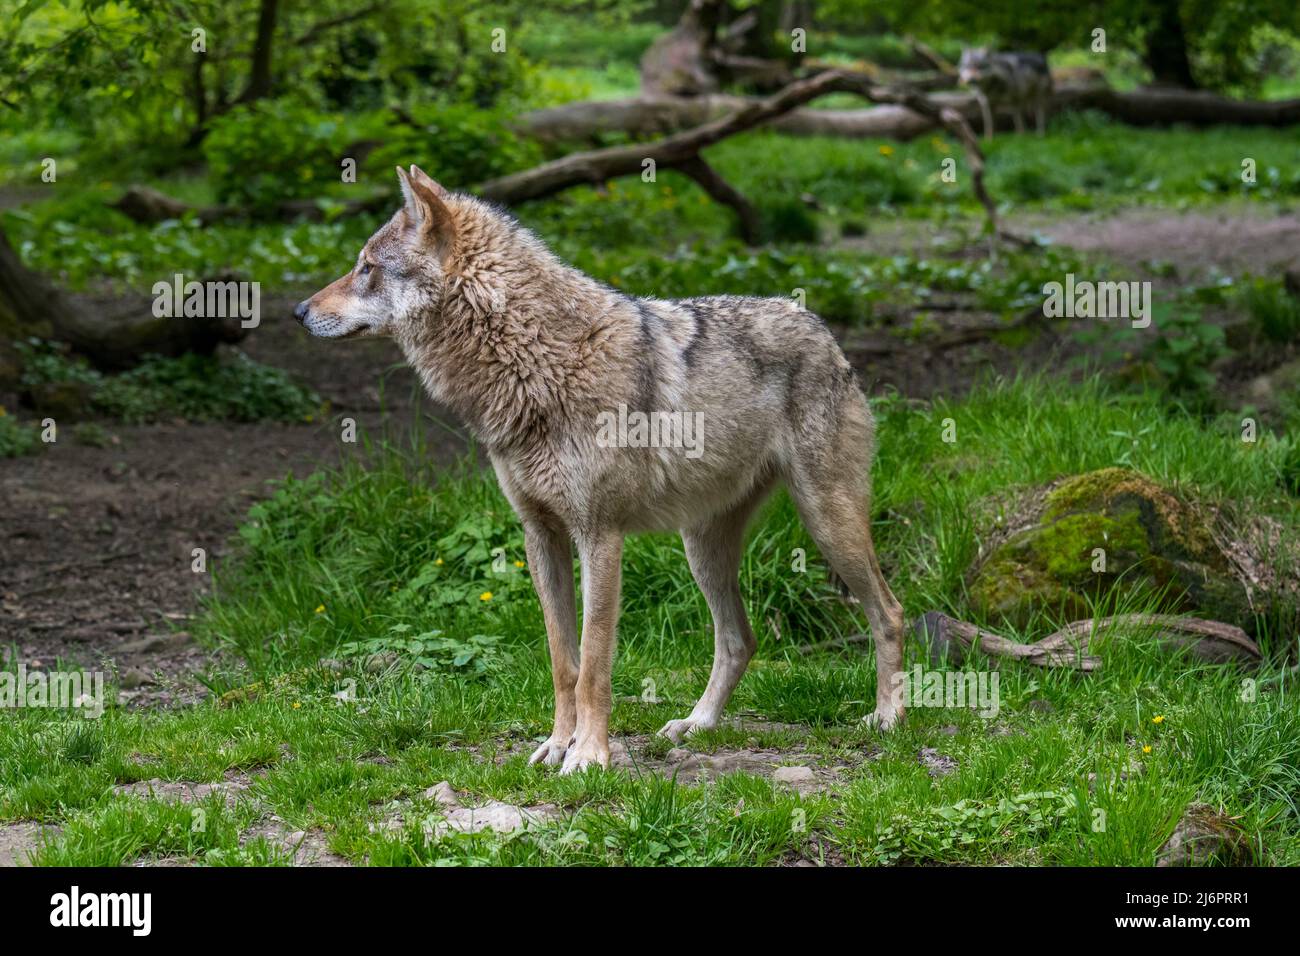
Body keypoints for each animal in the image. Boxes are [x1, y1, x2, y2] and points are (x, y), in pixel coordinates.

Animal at [293, 167, 904, 775]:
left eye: (366, 267)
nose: (298, 312)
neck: (534, 360)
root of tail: (817, 323)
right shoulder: (540, 535)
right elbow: (562, 662)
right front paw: (556, 746)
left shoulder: (600, 535)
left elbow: (593, 663)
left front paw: (588, 756)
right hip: (702, 549)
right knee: (739, 640)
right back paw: (697, 725)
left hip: (827, 523)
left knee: (889, 612)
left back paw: (888, 718)